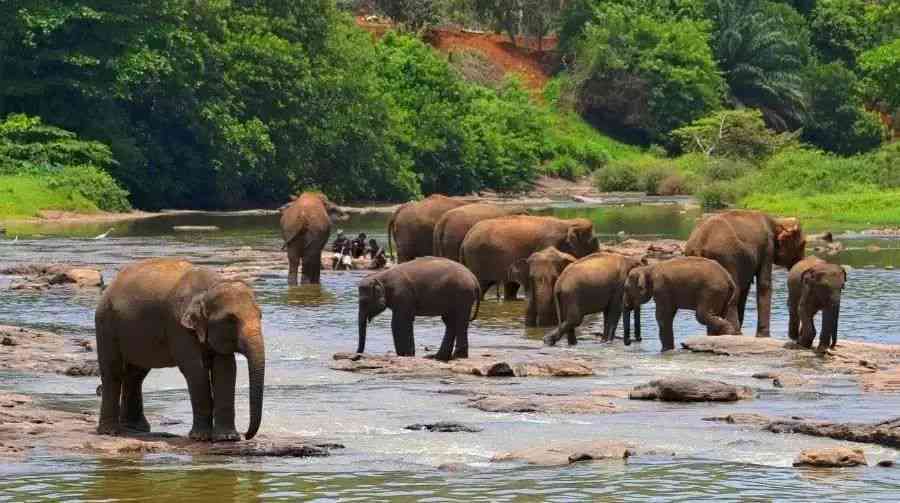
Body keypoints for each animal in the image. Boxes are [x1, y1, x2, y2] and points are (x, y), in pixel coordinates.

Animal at [98, 260, 268, 440]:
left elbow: (226, 369)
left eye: (260, 315)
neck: (208, 288)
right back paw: (110, 431)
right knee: (113, 372)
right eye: (230, 320)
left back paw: (136, 428)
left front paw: (227, 438)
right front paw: (201, 437)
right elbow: (195, 369)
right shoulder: (178, 325)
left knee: (136, 374)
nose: (246, 435)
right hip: (105, 323)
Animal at [358, 256, 486, 362]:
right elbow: (408, 321)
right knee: (450, 322)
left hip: (463, 296)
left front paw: (404, 355)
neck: (380, 276)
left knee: (460, 322)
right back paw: (439, 357)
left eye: (363, 302)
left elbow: (398, 323)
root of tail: (474, 279)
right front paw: (409, 354)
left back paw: (457, 356)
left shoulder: (402, 295)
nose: (358, 355)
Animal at [464, 216, 596, 300]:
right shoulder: (547, 244)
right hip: (477, 258)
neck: (568, 223)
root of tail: (466, 238)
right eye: (594, 241)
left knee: (510, 287)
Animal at [684, 209, 804, 338]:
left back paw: (716, 334)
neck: (777, 222)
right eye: (803, 244)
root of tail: (699, 244)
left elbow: (745, 289)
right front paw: (763, 336)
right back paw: (736, 333)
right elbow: (764, 284)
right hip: (726, 257)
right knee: (734, 292)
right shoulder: (767, 247)